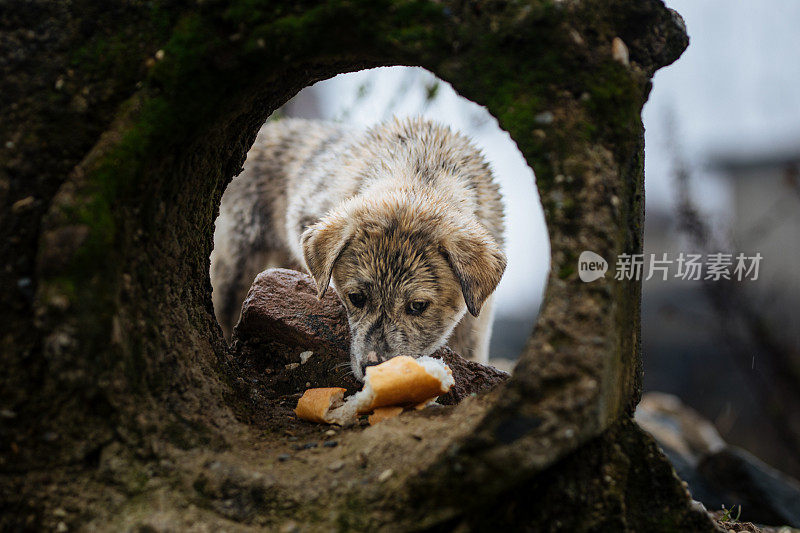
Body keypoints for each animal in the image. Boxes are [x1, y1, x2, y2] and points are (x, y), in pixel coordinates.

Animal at [209, 118, 504, 380]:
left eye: (418, 306)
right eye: (356, 298)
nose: (373, 369)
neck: (422, 174)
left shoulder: (478, 317)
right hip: (234, 262)